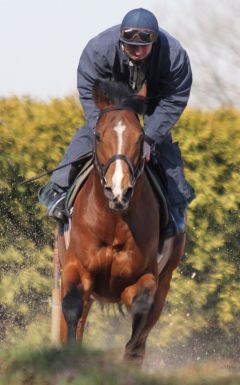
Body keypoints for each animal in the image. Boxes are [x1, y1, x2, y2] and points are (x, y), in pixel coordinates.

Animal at [56, 79, 186, 364]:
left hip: (166, 279)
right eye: (98, 135)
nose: (118, 191)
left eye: (139, 137)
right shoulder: (75, 268)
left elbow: (139, 307)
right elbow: (71, 310)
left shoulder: (146, 277)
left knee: (141, 334)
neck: (112, 220)